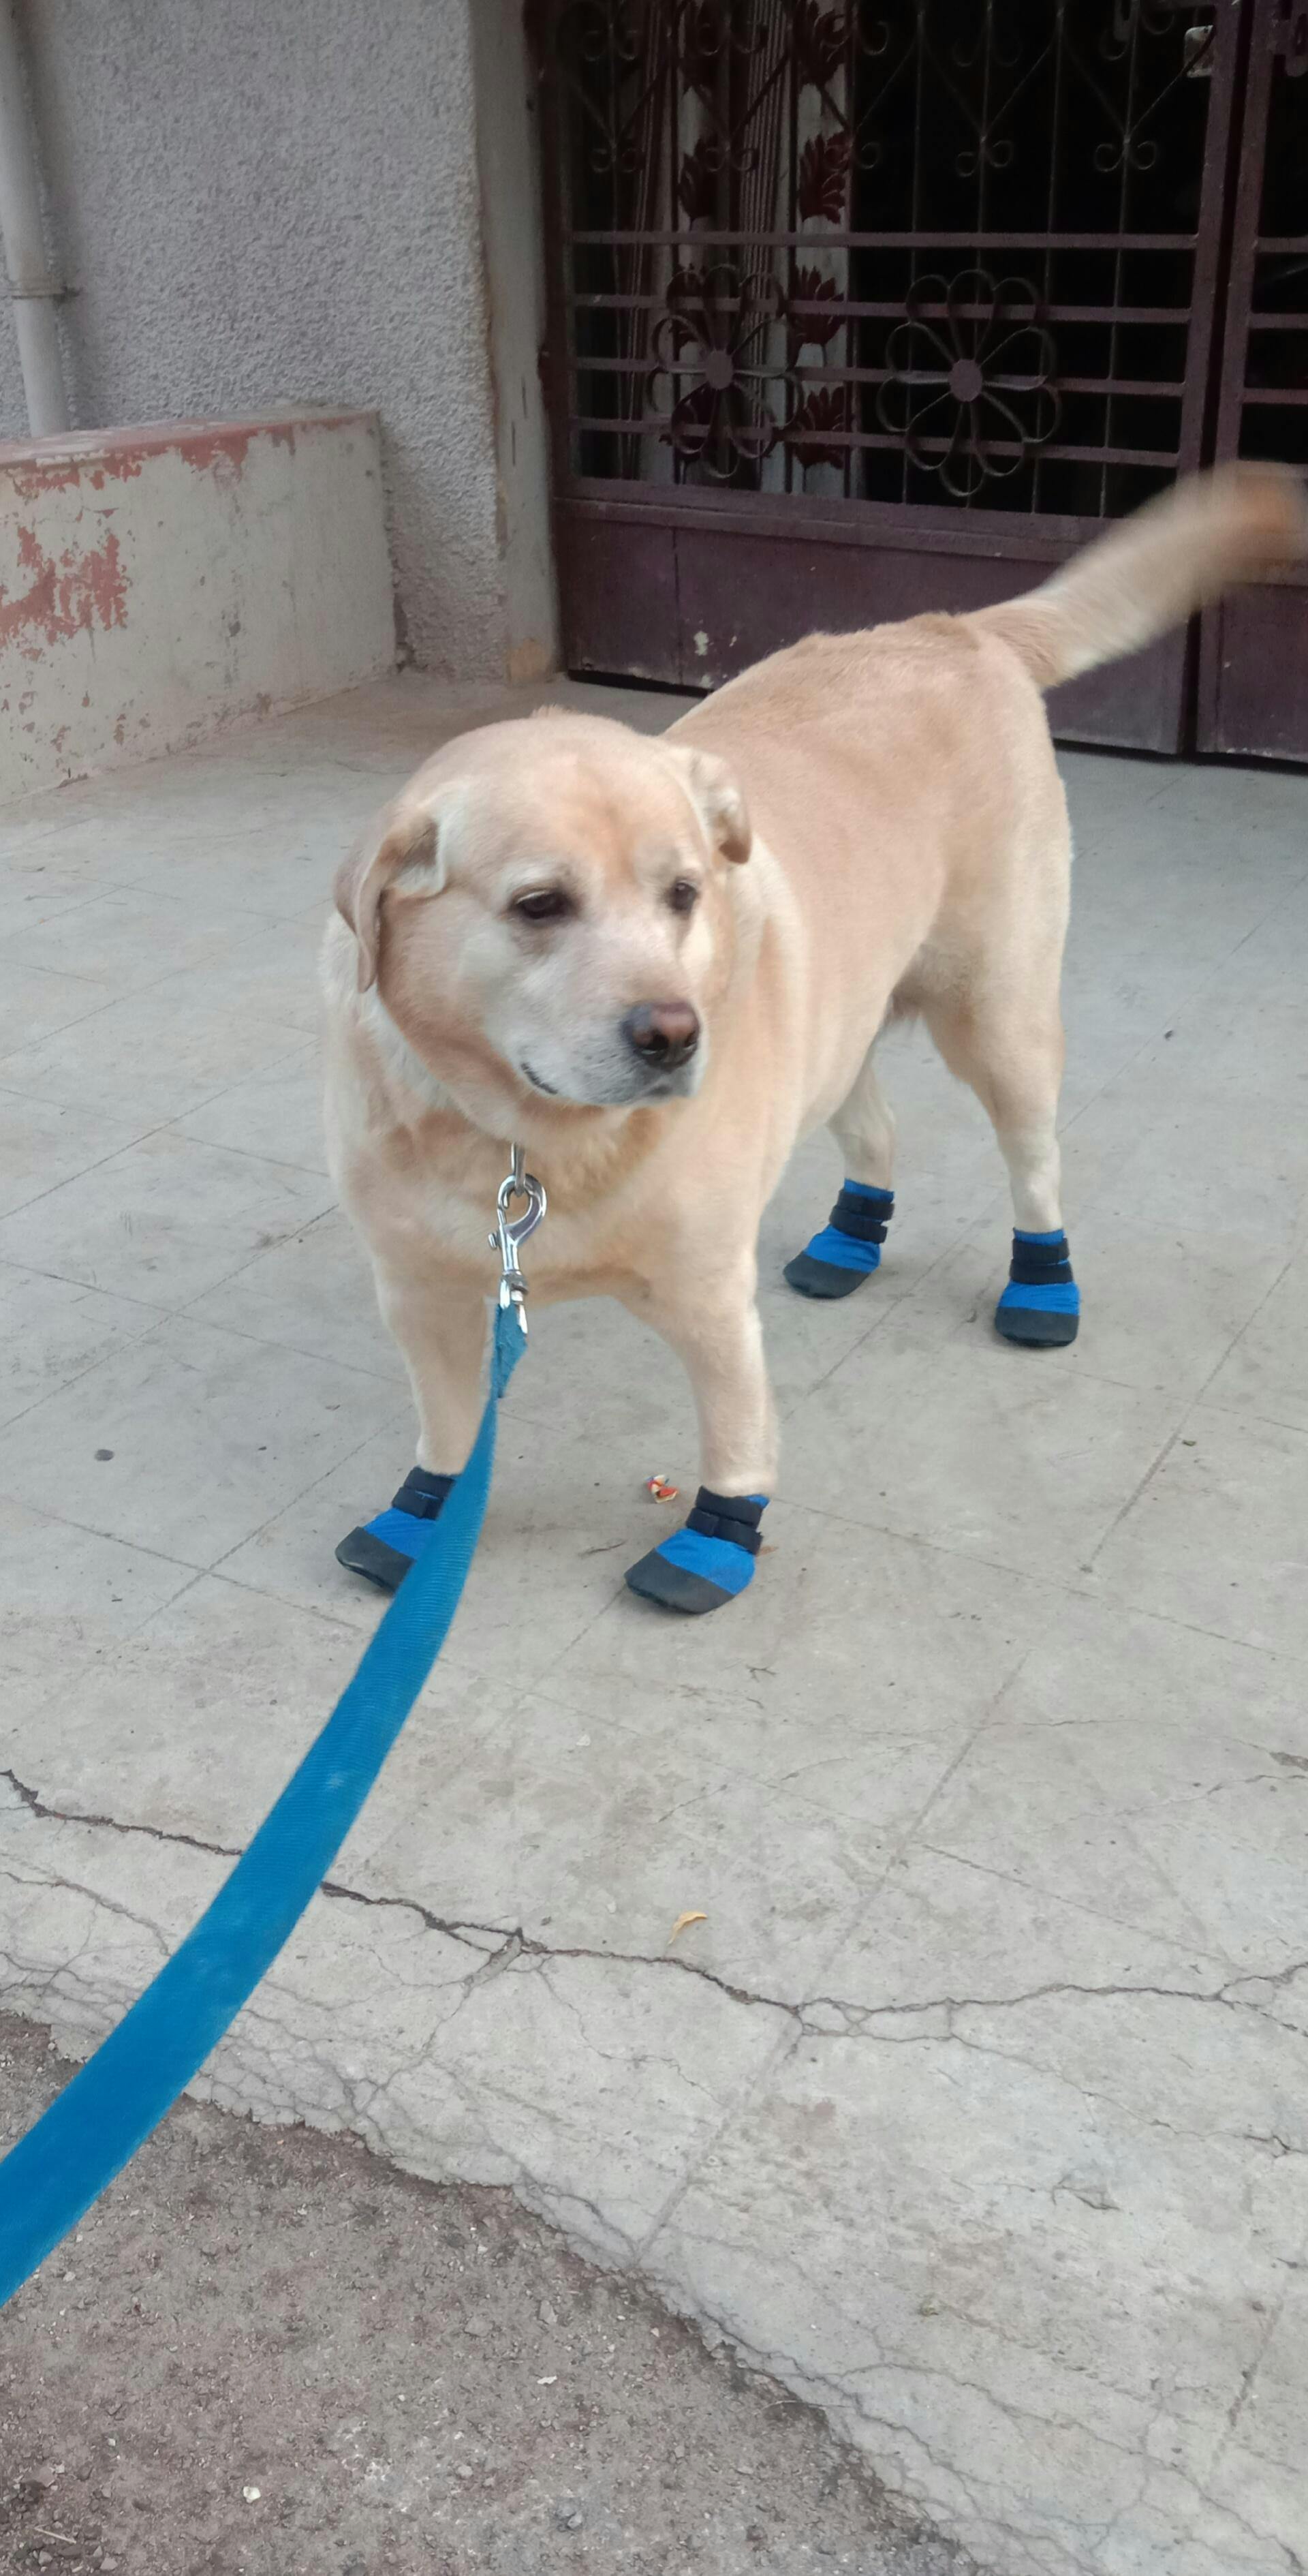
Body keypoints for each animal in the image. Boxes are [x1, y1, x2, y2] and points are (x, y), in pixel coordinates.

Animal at [322, 466, 1306, 1615]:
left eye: (683, 894)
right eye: (538, 905)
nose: (676, 1037)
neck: (527, 1143)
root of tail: (958, 626)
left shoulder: (708, 1292)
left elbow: (735, 1428)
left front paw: (718, 1536)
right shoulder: (419, 1294)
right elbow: (448, 1428)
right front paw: (422, 1513)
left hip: (1000, 1019)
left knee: (1035, 1161)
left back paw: (1041, 1281)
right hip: (843, 1025)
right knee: (873, 1125)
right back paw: (853, 1234)